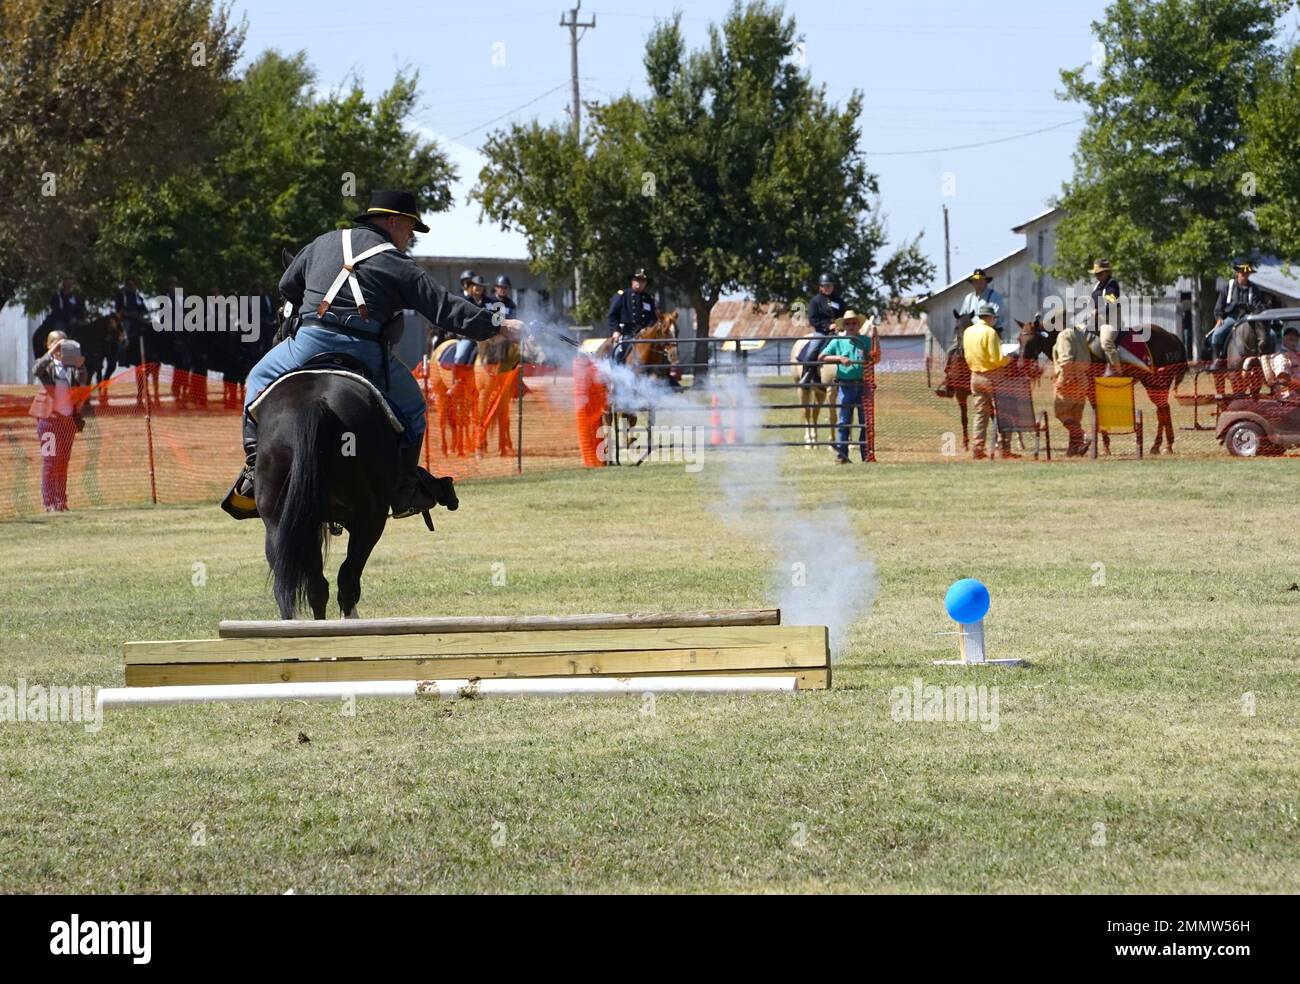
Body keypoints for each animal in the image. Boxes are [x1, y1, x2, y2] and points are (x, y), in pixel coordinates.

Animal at [595, 310, 681, 449]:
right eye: (665, 330)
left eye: (677, 330)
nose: (674, 356)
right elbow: (629, 415)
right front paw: (628, 441)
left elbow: (642, 417)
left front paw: (634, 441)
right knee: (608, 416)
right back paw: (608, 443)